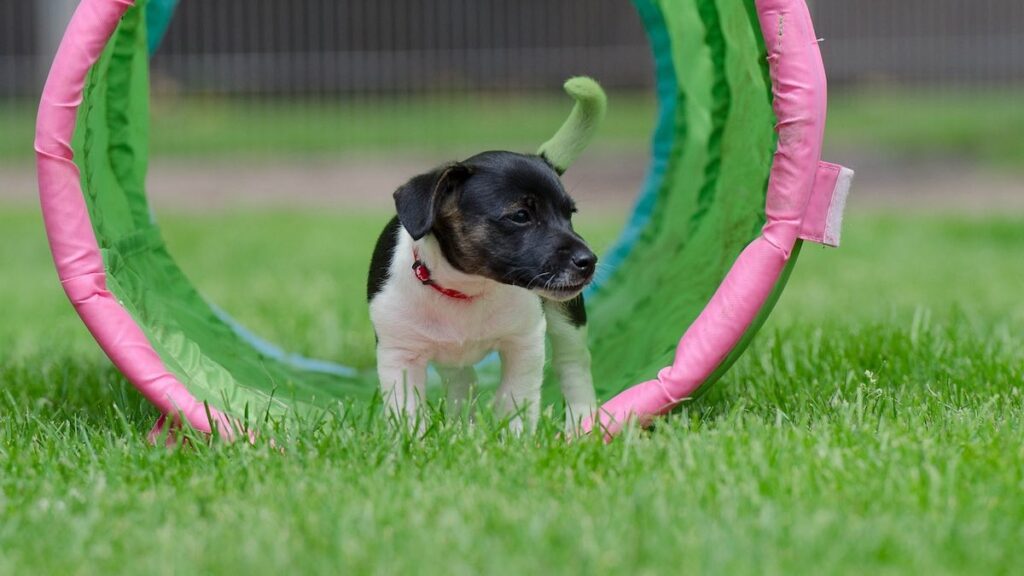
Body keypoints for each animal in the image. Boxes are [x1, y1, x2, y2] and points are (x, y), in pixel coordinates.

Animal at [368, 150, 598, 428]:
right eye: (521, 216)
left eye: (570, 214)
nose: (589, 261)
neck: (468, 286)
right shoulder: (400, 355)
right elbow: (406, 409)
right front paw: (413, 436)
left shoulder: (524, 342)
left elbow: (516, 396)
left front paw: (515, 434)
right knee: (462, 380)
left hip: (568, 321)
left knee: (573, 364)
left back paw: (581, 422)